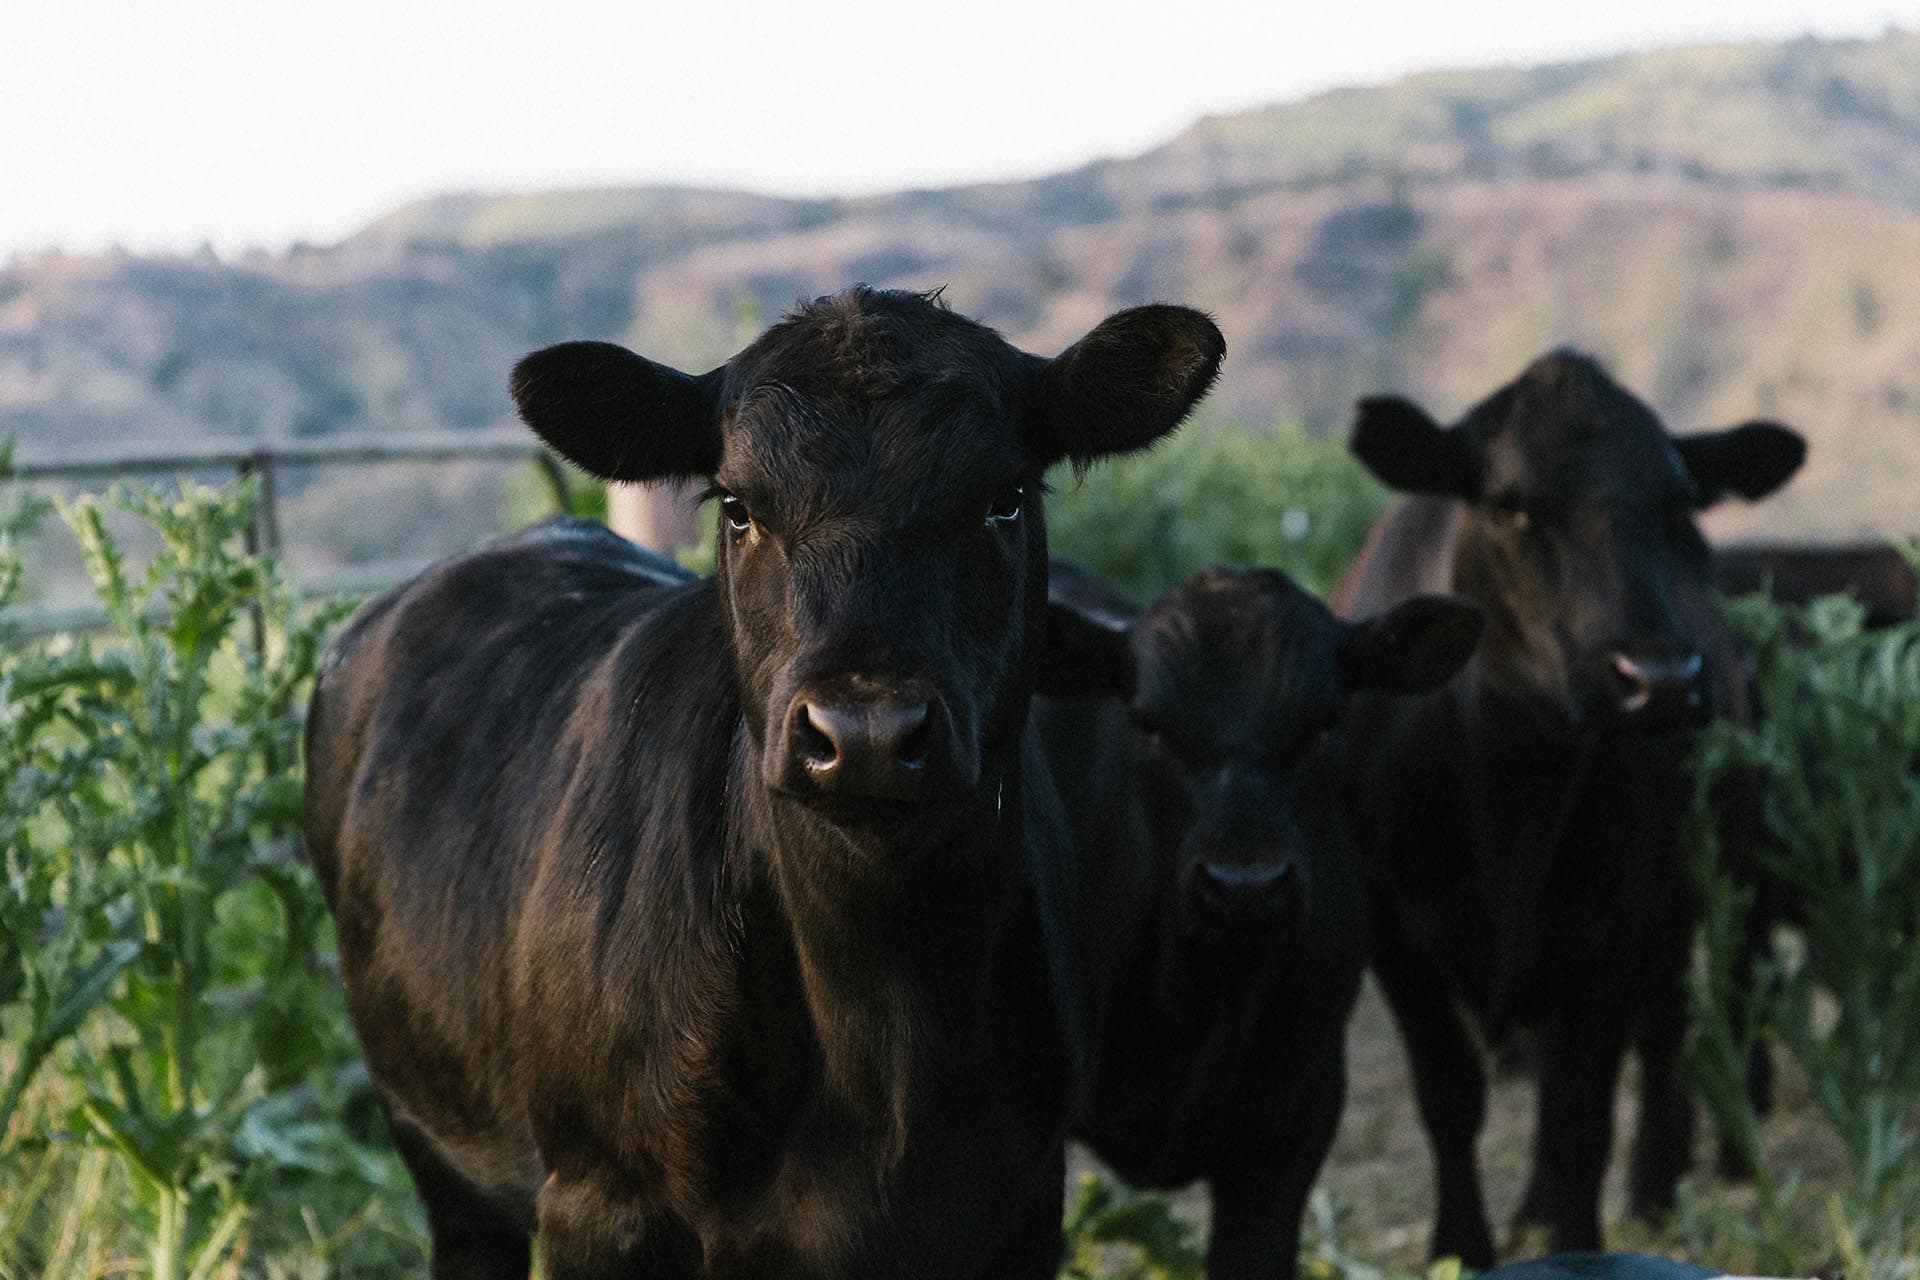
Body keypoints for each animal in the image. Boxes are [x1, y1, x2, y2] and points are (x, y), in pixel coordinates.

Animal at [302, 287, 1226, 1279]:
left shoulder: (1023, 1199)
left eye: (1004, 499)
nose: (865, 734)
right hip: (439, 1149)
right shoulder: (598, 1204)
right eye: (740, 507)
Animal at [1327, 350, 1805, 1265]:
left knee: (1667, 1035)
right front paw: (1461, 1244)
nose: (1660, 681)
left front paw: (1576, 1238)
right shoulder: (1387, 926)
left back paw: (1651, 1186)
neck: (1514, 783)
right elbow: (1450, 1092)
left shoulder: (1624, 917)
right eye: (1512, 504)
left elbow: (1580, 1106)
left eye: (1677, 504)